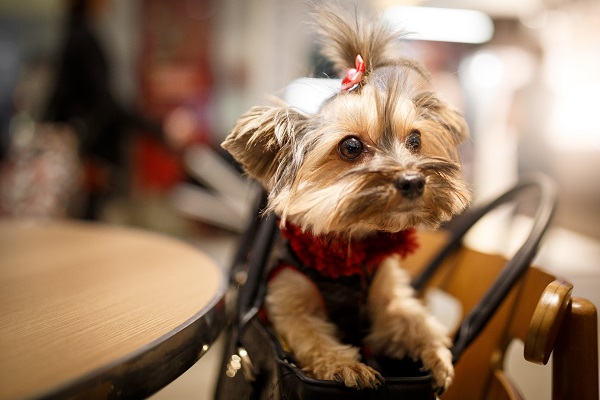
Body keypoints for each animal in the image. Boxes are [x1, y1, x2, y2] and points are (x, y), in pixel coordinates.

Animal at [223, 4, 472, 392]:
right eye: (351, 147)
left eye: (415, 140)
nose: (413, 180)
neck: (350, 247)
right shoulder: (288, 304)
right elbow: (312, 337)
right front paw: (346, 366)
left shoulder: (384, 302)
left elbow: (409, 317)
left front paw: (436, 353)